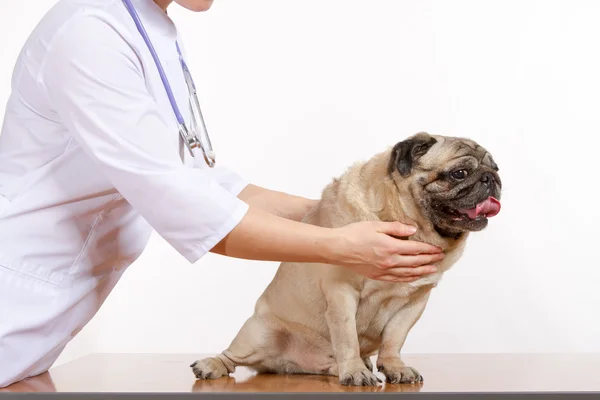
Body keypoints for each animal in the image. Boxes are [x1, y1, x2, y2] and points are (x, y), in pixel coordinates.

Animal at [190, 133, 500, 386]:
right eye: (459, 173)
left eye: (496, 169)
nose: (491, 179)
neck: (412, 227)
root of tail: (288, 365)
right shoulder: (342, 293)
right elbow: (347, 337)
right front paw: (353, 372)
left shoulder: (414, 302)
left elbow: (394, 339)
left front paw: (394, 367)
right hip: (258, 334)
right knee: (232, 356)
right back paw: (211, 364)